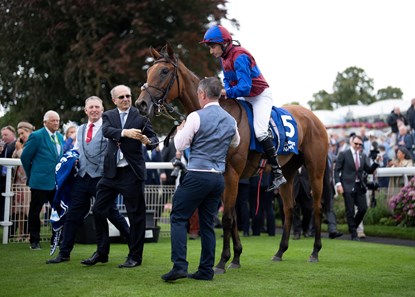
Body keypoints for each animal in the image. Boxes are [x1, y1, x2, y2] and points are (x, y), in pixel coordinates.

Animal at [135, 44, 330, 272]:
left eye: (164, 72)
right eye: (149, 71)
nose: (141, 103)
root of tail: (314, 117)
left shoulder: (232, 174)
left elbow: (228, 217)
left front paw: (222, 261)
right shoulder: (220, 175)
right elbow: (234, 216)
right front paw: (236, 257)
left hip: (315, 170)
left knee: (317, 207)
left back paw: (315, 251)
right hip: (288, 172)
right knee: (289, 208)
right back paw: (280, 251)